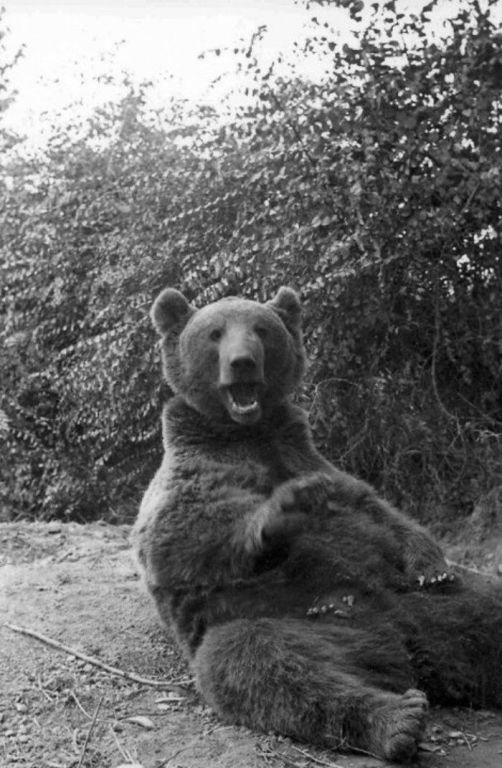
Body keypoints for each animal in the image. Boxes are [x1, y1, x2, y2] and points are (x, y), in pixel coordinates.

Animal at [131, 286, 502, 763]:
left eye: (261, 329)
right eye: (215, 333)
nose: (243, 362)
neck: (248, 430)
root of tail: (405, 644)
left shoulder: (308, 456)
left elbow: (375, 507)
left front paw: (431, 562)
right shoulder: (192, 469)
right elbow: (177, 535)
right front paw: (286, 506)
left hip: (445, 604)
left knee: (487, 607)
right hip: (298, 620)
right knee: (263, 663)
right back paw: (398, 719)